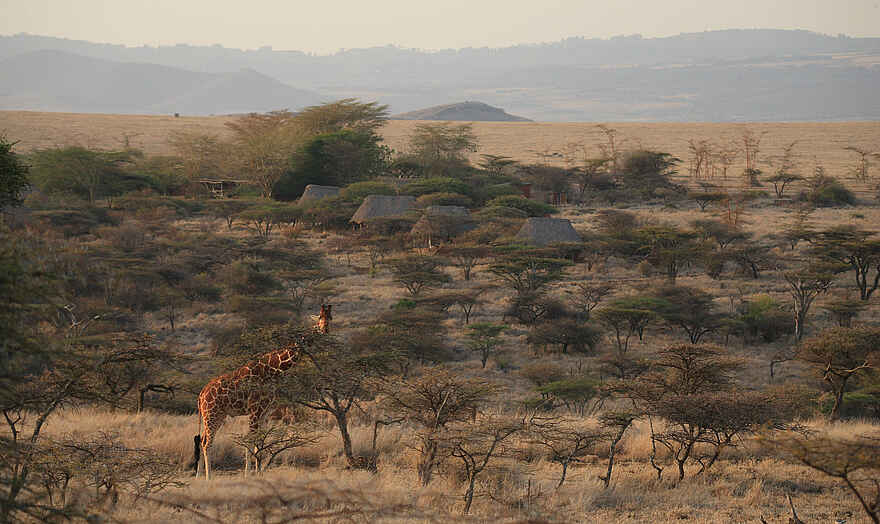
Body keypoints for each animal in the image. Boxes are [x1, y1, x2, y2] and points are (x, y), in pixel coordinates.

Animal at [195, 305, 331, 479]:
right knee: (207, 442)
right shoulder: (255, 410)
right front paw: (248, 474)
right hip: (211, 414)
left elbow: (261, 441)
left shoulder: (266, 412)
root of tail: (201, 394)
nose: (325, 329)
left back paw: (198, 476)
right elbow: (250, 440)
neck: (274, 369)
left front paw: (259, 473)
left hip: (218, 415)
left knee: (202, 440)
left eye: (330, 318)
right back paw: (208, 477)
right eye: (320, 317)